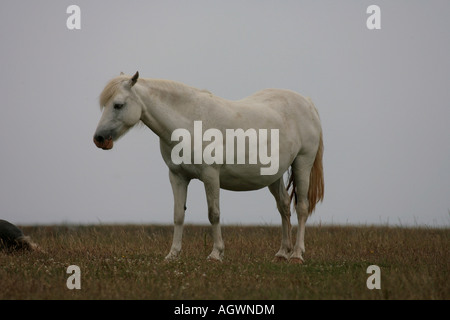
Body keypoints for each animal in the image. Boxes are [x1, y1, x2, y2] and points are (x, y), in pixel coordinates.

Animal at [94, 72, 324, 262]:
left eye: (118, 105)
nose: (99, 139)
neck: (189, 124)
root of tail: (307, 103)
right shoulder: (177, 176)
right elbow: (178, 214)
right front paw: (173, 254)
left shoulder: (210, 175)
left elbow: (213, 213)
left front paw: (215, 254)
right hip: (274, 175)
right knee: (284, 206)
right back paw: (282, 253)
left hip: (302, 163)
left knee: (301, 208)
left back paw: (296, 254)